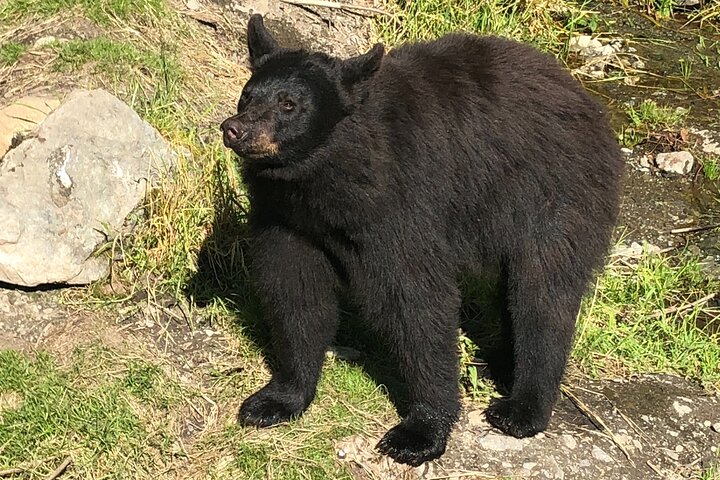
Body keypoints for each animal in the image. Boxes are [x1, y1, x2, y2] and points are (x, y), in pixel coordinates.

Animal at [220, 14, 623, 467]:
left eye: (289, 104)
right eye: (247, 95)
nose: (234, 129)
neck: (321, 181)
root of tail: (589, 103)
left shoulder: (399, 206)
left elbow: (416, 300)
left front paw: (419, 432)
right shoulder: (288, 221)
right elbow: (295, 295)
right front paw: (277, 400)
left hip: (551, 198)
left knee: (542, 295)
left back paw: (522, 408)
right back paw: (501, 362)